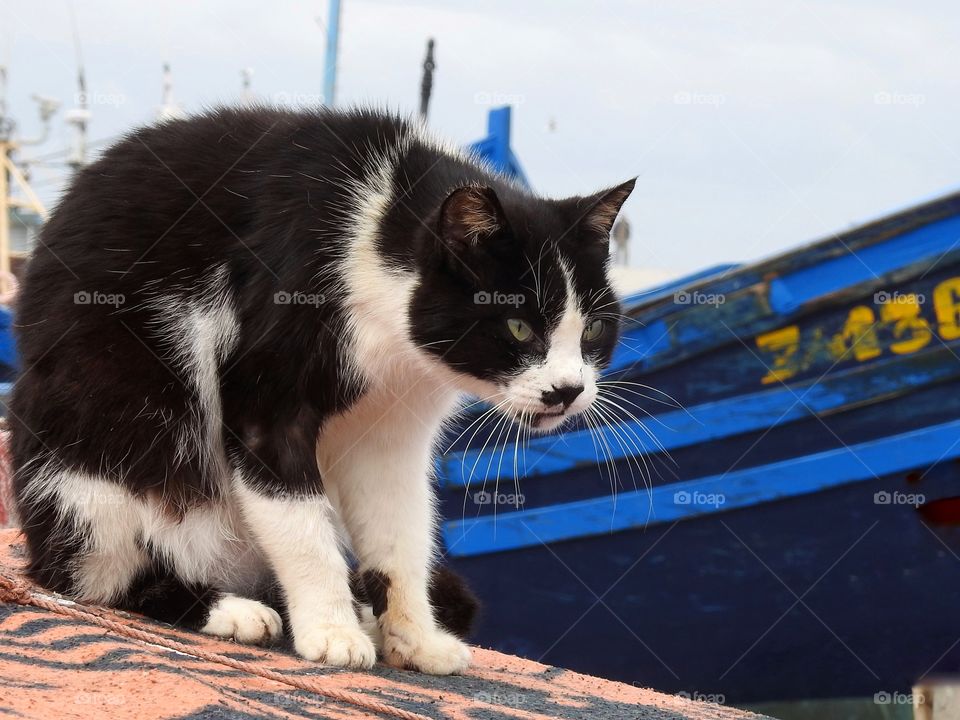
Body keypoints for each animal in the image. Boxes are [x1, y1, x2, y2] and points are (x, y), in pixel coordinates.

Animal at [13, 107, 632, 676]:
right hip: (96, 453)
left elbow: (400, 536)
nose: (568, 390)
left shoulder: (391, 431)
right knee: (88, 573)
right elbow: (301, 524)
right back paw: (233, 610)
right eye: (519, 328)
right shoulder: (266, 400)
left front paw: (413, 637)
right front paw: (332, 630)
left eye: (594, 330)